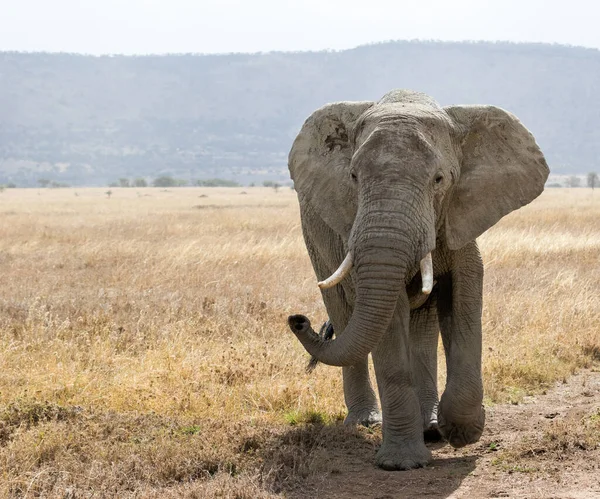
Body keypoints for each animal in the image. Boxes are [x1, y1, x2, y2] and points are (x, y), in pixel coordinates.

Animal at [286, 91, 548, 472]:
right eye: (353, 177)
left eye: (439, 180)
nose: (297, 319)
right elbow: (388, 318)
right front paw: (400, 464)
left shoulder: (459, 215)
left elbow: (465, 296)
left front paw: (461, 432)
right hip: (317, 240)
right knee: (344, 313)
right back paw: (367, 423)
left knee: (423, 328)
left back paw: (433, 429)